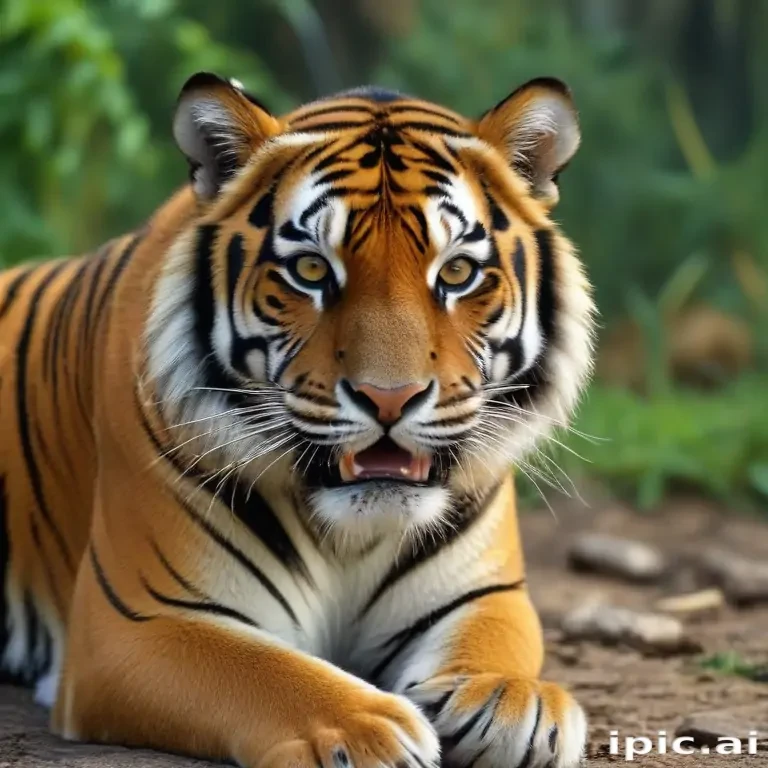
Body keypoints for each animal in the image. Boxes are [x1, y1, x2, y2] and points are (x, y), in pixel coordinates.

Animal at [0, 71, 595, 767]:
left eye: (457, 271)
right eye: (311, 269)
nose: (389, 398)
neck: (349, 537)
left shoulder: (486, 594)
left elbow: (498, 645)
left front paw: (511, 699)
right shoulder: (136, 621)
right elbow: (262, 671)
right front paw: (365, 729)